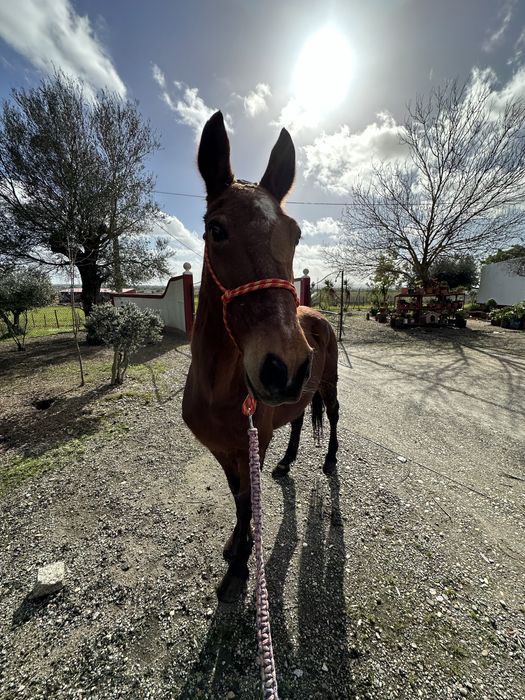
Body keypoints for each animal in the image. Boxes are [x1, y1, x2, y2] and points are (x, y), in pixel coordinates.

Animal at [182, 111, 340, 603]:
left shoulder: (254, 439)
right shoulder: (224, 449)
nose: (284, 365)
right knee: (298, 418)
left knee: (332, 414)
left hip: (327, 384)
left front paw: (238, 570)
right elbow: (238, 499)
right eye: (216, 228)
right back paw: (287, 463)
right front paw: (236, 545)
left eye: (296, 234)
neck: (218, 388)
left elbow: (249, 503)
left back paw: (329, 461)